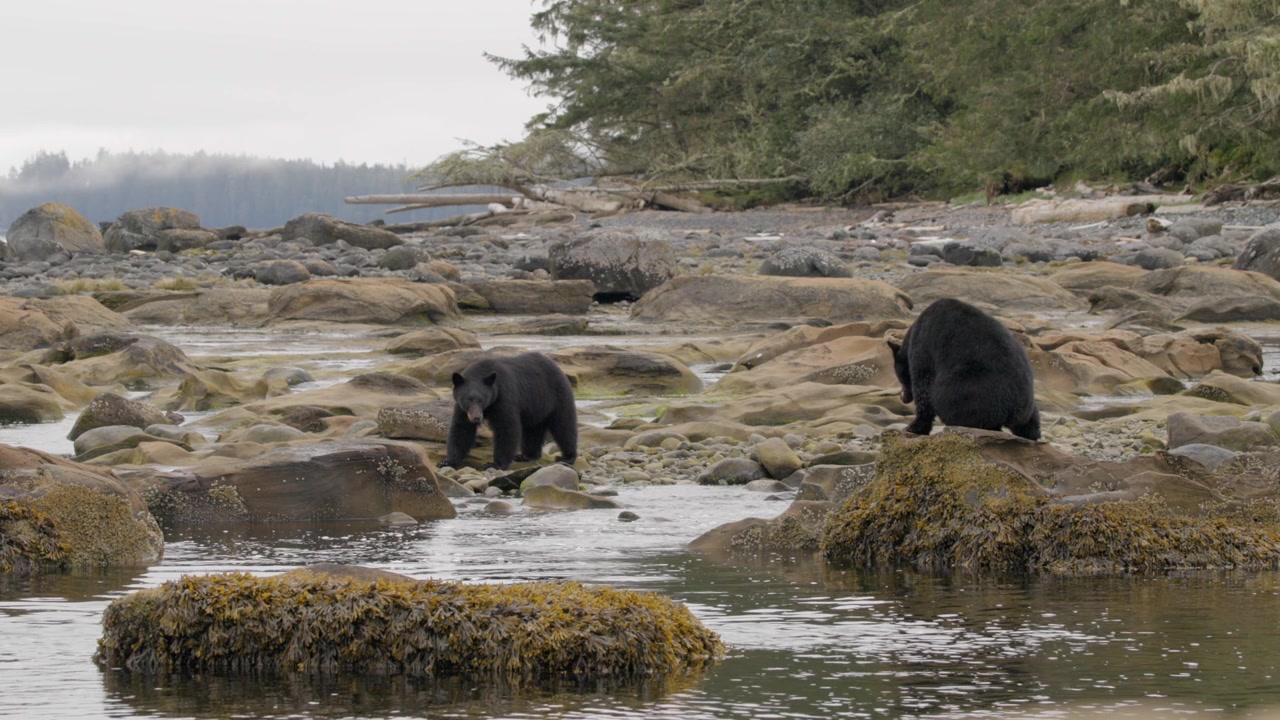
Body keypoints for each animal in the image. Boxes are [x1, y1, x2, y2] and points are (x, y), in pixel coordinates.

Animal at [438, 352, 578, 470]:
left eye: (481, 400)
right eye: (468, 400)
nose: (476, 418)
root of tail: (557, 367)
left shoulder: (503, 396)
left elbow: (506, 426)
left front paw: (495, 464)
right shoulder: (462, 408)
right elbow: (461, 428)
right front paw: (447, 461)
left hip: (557, 396)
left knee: (564, 426)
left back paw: (567, 457)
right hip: (536, 407)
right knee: (533, 430)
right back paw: (527, 455)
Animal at [886, 297, 1041, 441]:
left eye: (900, 377)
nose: (903, 398)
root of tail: (1015, 409)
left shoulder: (923, 347)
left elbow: (924, 387)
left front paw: (913, 427)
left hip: (970, 389)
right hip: (1028, 405)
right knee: (1031, 421)